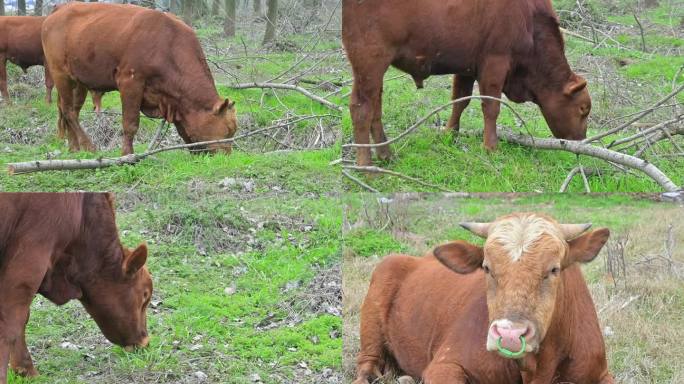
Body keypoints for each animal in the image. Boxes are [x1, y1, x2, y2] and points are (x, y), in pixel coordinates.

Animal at [41, 1, 238, 154]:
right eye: (228, 131)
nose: (226, 156)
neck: (168, 44)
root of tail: (59, 9)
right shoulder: (130, 82)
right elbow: (130, 124)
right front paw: (127, 155)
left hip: (78, 81)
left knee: (70, 110)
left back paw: (74, 147)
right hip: (60, 74)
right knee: (68, 111)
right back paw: (89, 146)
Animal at [344, 0, 592, 165]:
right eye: (582, 109)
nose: (582, 141)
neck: (529, 19)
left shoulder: (467, 68)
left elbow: (459, 101)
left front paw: (449, 134)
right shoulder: (495, 64)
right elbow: (491, 108)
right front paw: (491, 147)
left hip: (371, 73)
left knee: (375, 108)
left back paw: (385, 155)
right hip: (370, 63)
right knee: (361, 109)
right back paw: (367, 167)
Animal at [356, 213, 612, 384]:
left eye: (554, 269)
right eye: (487, 268)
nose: (509, 335)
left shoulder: (600, 373)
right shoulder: (444, 365)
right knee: (366, 365)